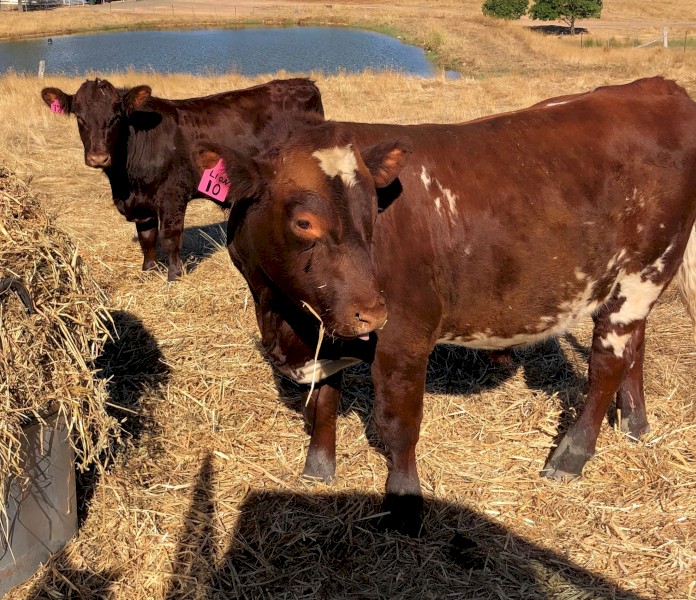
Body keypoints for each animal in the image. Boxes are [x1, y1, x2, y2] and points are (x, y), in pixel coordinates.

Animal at [40, 77, 324, 281]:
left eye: (116, 117)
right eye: (80, 117)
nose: (98, 157)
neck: (125, 182)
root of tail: (304, 82)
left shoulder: (172, 196)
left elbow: (170, 237)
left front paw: (174, 274)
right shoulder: (141, 204)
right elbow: (147, 237)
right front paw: (148, 269)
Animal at [194, 77, 696, 534]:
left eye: (372, 212)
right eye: (304, 222)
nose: (372, 312)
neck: (282, 316)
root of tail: (655, 86)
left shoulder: (404, 336)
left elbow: (398, 422)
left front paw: (404, 503)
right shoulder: (327, 330)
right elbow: (324, 401)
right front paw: (318, 468)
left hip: (642, 272)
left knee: (607, 364)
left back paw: (571, 455)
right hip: (634, 280)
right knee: (634, 346)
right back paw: (634, 422)